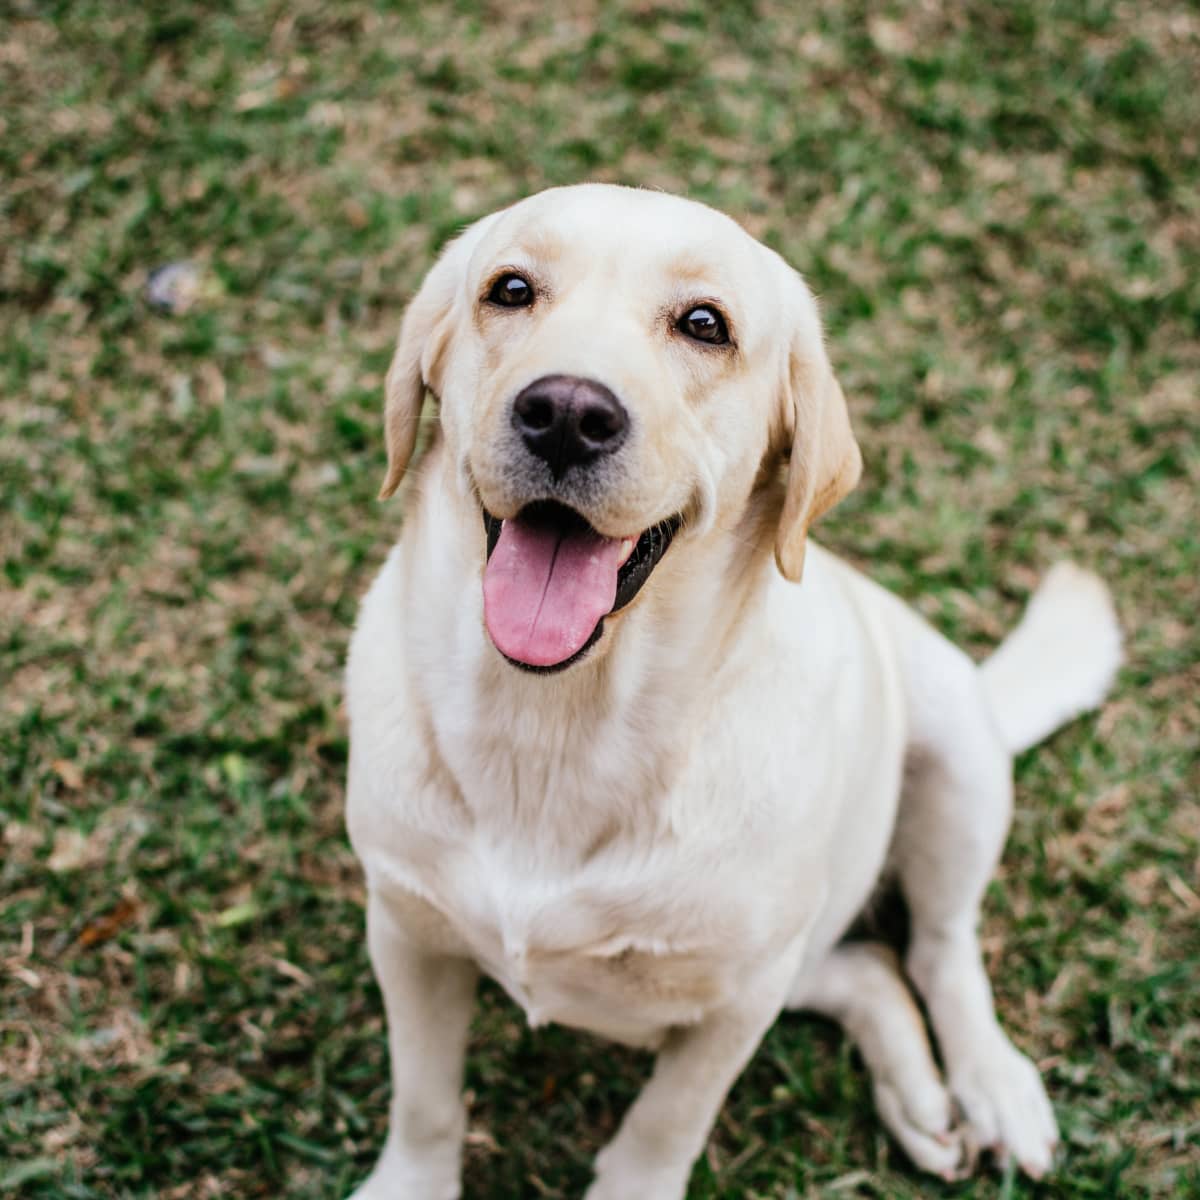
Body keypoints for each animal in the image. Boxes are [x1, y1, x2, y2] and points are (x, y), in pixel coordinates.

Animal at [340, 182, 1123, 1195]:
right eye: (509, 289)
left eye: (704, 324)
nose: (565, 412)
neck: (556, 722)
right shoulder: (407, 931)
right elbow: (426, 1100)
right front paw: (411, 1180)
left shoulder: (735, 1003)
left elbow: (665, 1125)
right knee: (868, 968)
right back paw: (919, 1098)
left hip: (956, 755)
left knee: (939, 946)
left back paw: (990, 1085)